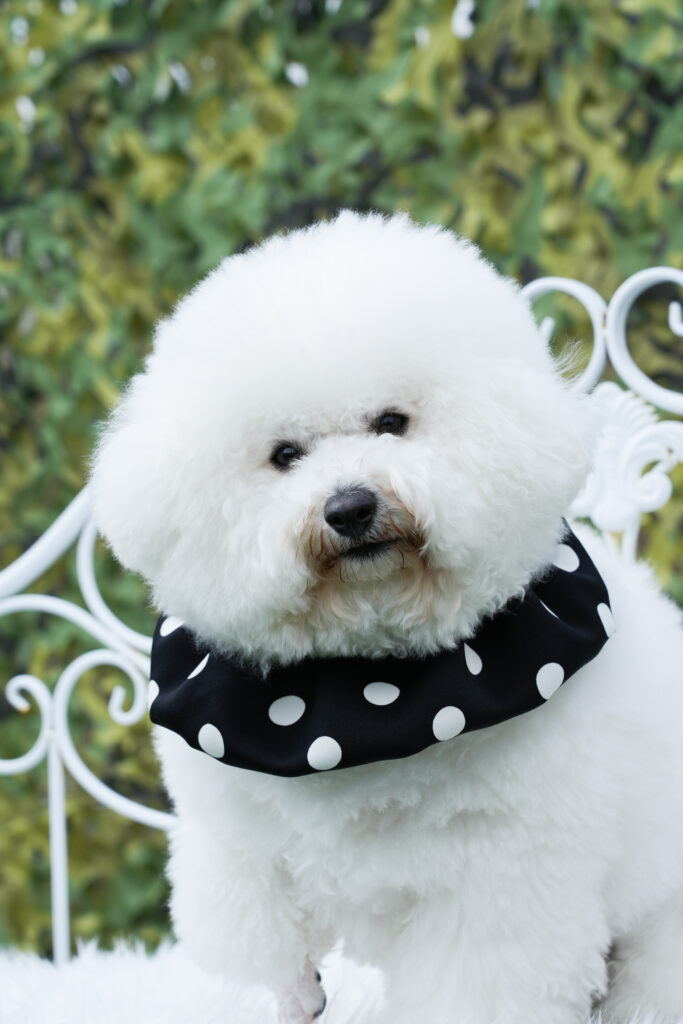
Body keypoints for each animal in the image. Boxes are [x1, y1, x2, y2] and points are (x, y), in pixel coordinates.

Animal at [90, 211, 683, 1024]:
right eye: (284, 454)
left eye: (392, 422)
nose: (349, 507)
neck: (364, 695)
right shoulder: (241, 854)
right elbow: (259, 962)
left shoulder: (498, 885)